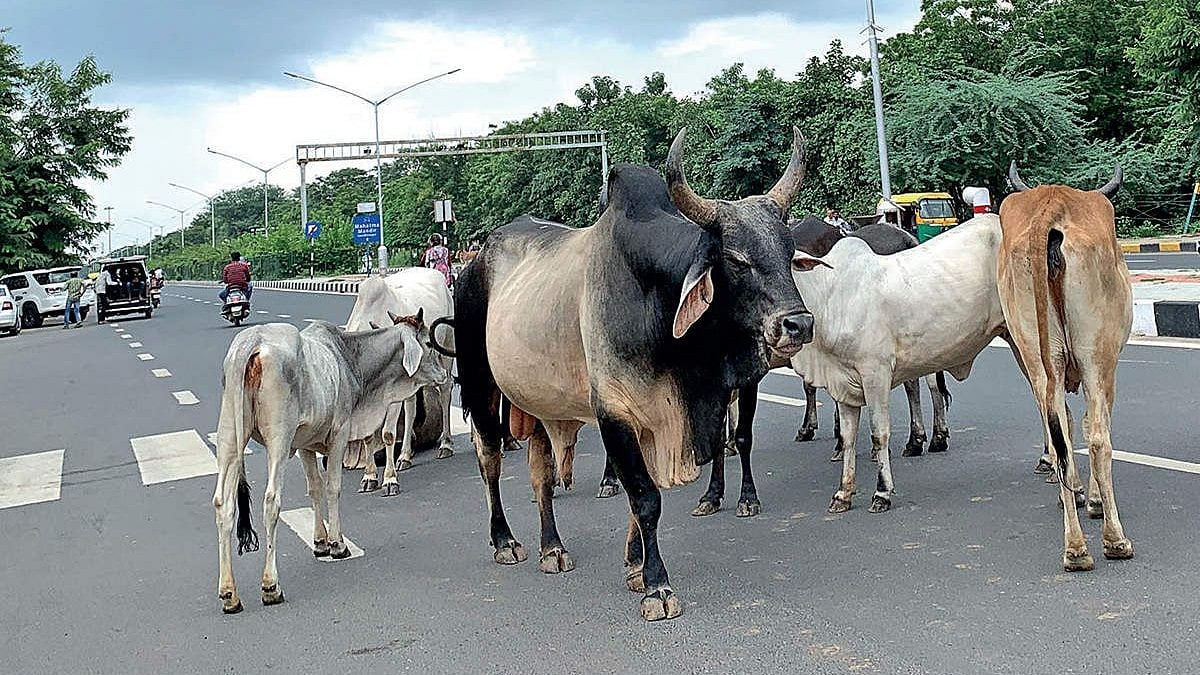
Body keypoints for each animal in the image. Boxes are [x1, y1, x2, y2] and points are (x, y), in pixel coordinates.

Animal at [211, 313, 448, 614]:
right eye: (428, 342)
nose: (443, 374)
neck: (348, 359)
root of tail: (252, 341)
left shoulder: (304, 444)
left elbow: (314, 489)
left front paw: (320, 542)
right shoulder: (339, 434)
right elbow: (332, 488)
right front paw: (337, 544)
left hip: (230, 437)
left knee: (223, 504)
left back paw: (229, 594)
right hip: (278, 439)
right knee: (271, 501)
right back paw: (271, 586)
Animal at [343, 271, 456, 497]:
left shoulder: (392, 398)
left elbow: (388, 434)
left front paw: (389, 480)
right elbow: (369, 436)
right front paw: (369, 477)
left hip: (447, 352)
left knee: (445, 392)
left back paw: (446, 445)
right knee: (411, 408)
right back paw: (404, 456)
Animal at [454, 127, 823, 621]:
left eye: (787, 251)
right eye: (736, 258)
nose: (798, 324)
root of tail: (475, 260)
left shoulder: (657, 418)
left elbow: (636, 500)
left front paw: (634, 567)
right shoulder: (615, 412)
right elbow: (646, 498)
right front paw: (657, 586)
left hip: (540, 404)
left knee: (541, 472)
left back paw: (552, 548)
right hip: (481, 386)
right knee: (490, 459)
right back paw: (505, 540)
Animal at [782, 214, 1009, 514]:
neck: (831, 298)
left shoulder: (875, 373)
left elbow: (879, 433)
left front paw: (882, 492)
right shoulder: (841, 382)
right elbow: (849, 437)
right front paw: (843, 493)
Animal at [1000, 163, 1134, 571]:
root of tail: (1052, 206)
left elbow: (1064, 427)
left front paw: (1073, 494)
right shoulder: (1105, 367)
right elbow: (1091, 425)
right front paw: (1094, 500)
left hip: (1039, 358)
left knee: (1058, 434)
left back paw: (1075, 549)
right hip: (1096, 355)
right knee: (1098, 439)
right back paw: (1114, 540)